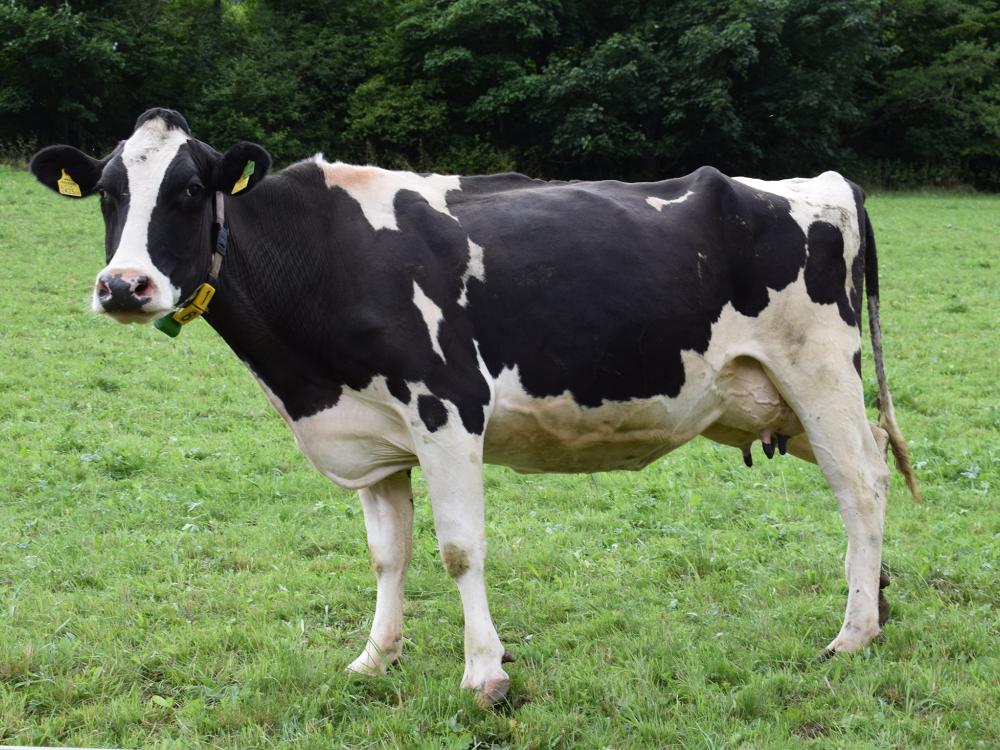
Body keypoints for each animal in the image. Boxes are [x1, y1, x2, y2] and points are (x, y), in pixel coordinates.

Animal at [33, 108, 920, 708]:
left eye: (189, 190)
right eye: (107, 193)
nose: (123, 287)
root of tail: (824, 183)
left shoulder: (446, 410)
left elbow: (459, 549)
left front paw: (485, 673)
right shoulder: (373, 440)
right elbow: (387, 556)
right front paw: (375, 658)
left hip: (819, 374)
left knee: (861, 484)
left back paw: (852, 634)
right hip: (776, 400)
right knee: (872, 467)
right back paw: (876, 604)